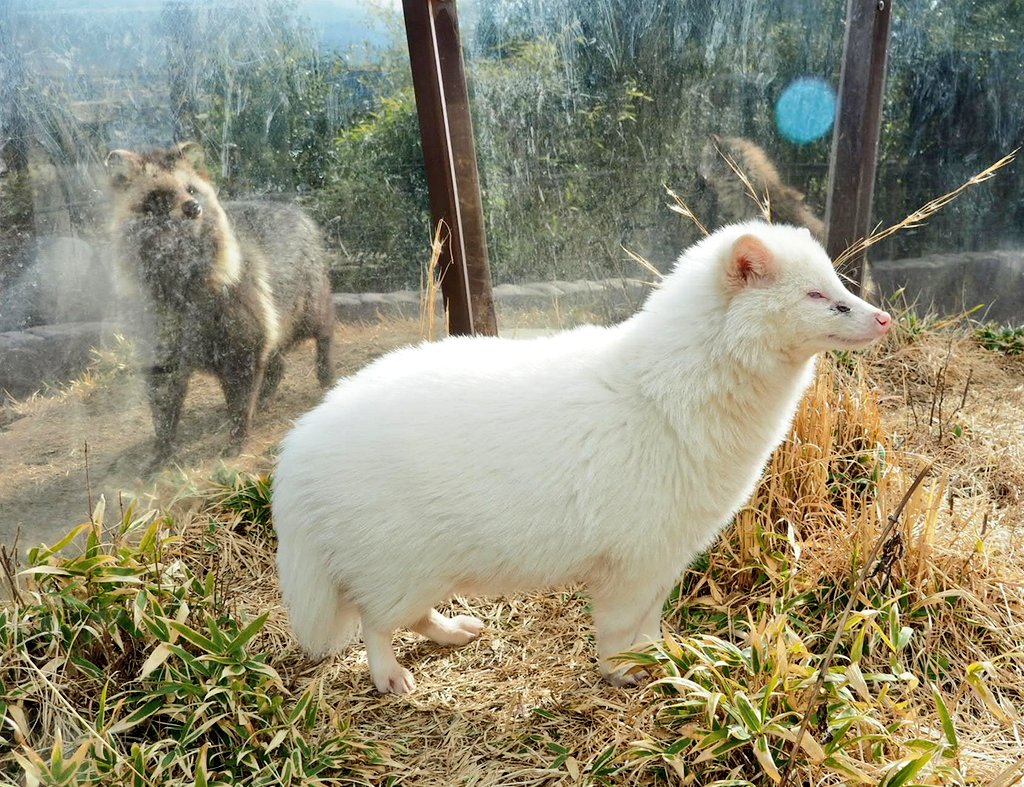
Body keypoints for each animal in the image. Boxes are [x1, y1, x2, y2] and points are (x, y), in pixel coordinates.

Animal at [106, 141, 333, 462]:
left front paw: (237, 433)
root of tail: (296, 211)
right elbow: (163, 387)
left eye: (191, 189)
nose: (193, 208)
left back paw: (325, 368)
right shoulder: (156, 325)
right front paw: (162, 445)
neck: (179, 266)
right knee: (274, 353)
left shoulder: (238, 312)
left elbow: (241, 379)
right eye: (159, 197)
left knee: (321, 325)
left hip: (305, 293)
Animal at [272, 217, 888, 691]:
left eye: (838, 283)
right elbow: (616, 630)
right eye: (816, 295)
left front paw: (659, 658)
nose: (883, 318)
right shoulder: (632, 561)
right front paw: (622, 673)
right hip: (396, 563)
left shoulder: (666, 558)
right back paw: (390, 675)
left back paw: (455, 631)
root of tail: (298, 444)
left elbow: (650, 625)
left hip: (422, 570)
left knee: (409, 614)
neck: (667, 395)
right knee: (372, 622)